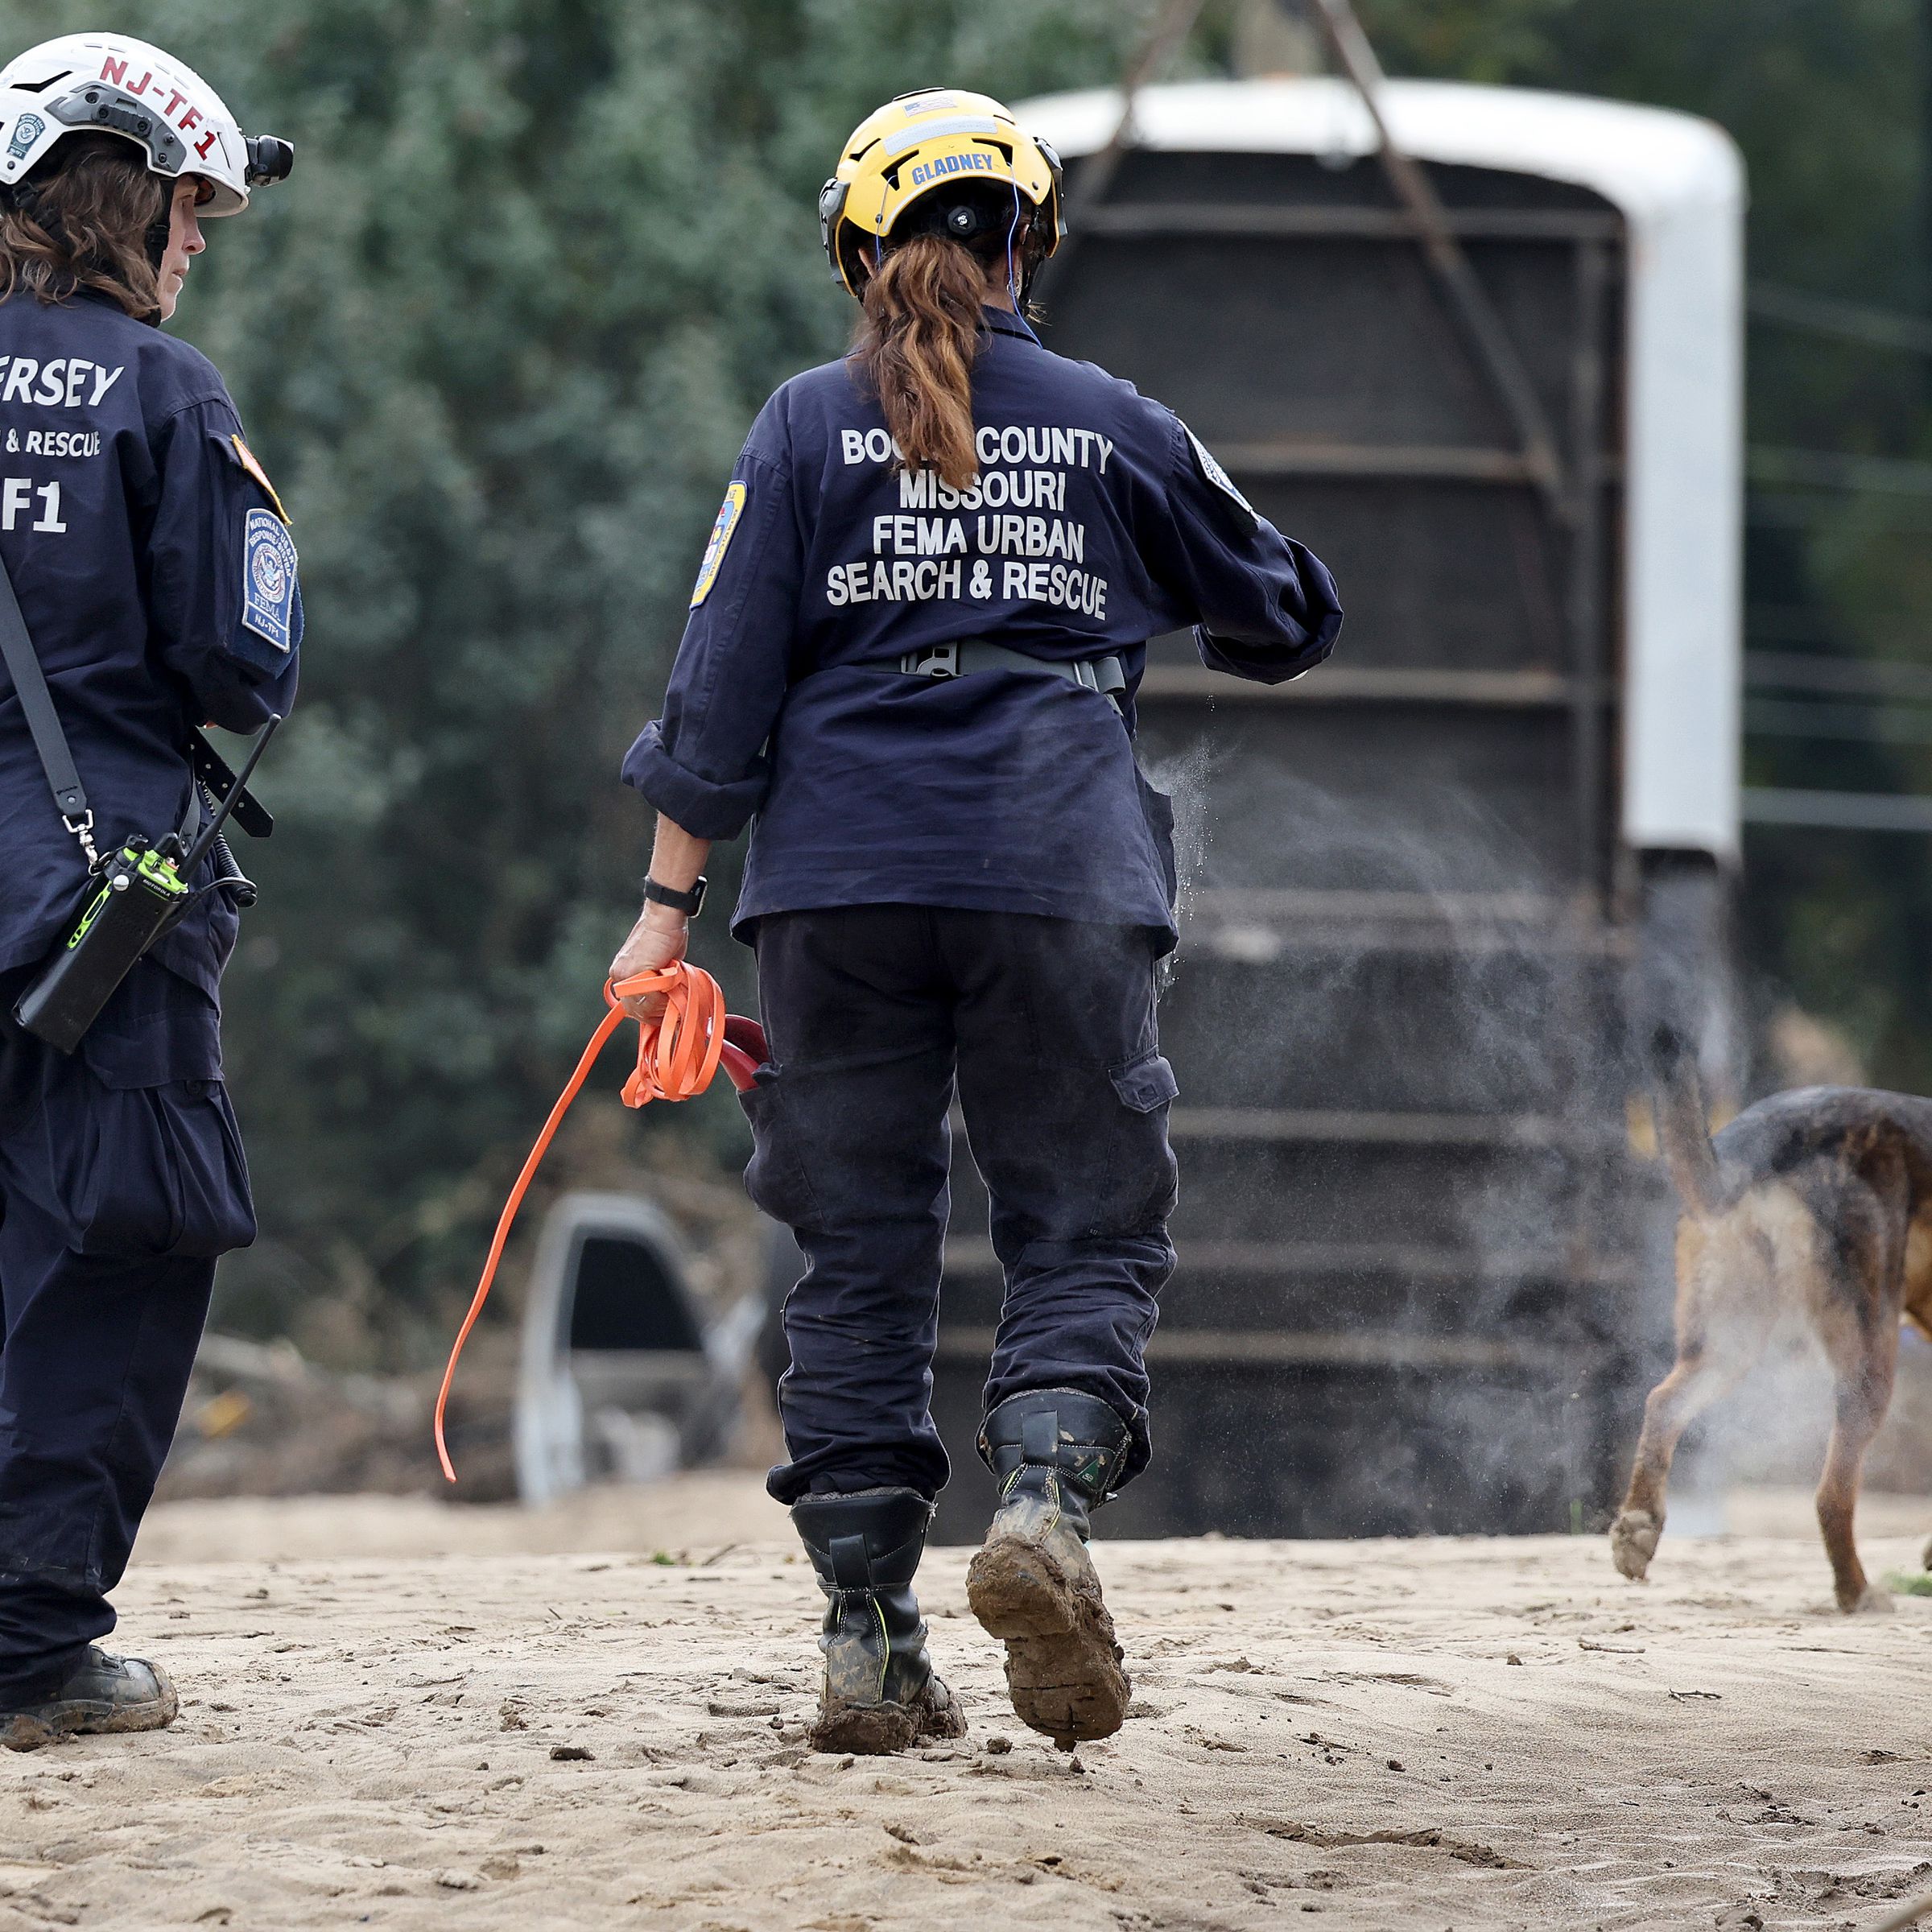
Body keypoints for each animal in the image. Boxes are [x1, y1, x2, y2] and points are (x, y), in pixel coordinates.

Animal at [1607, 1035, 1932, 1607]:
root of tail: (1761, 1141)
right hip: (1869, 1361)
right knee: (1830, 1496)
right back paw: (1857, 1594)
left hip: (1725, 1346)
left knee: (1663, 1404)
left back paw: (1637, 1528)